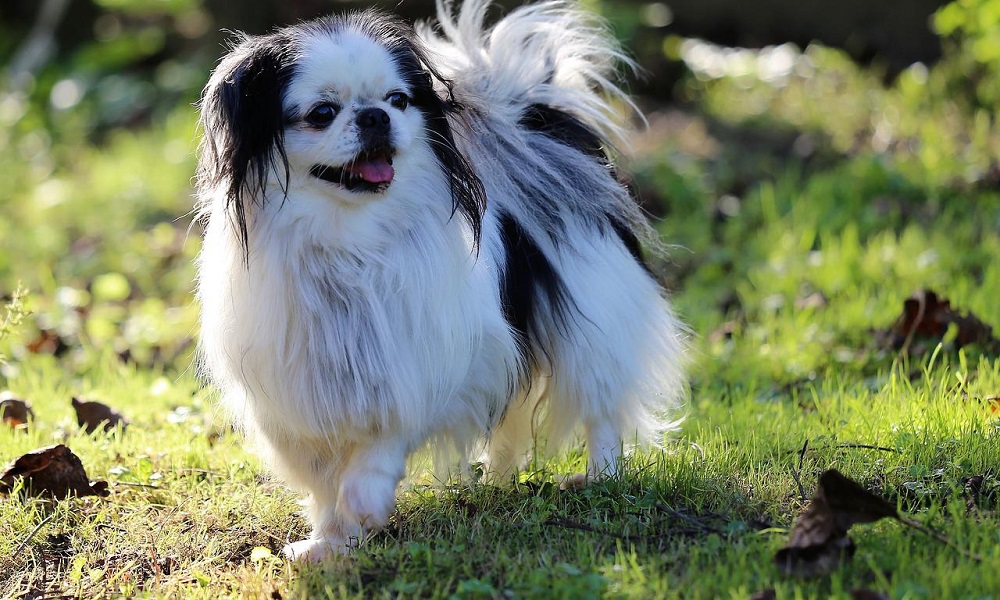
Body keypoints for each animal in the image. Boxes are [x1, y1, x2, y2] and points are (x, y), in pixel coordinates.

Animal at [195, 0, 688, 564]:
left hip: (595, 325)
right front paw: (331, 544)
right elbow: (323, 485)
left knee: (601, 409)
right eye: (321, 113)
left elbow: (379, 446)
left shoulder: (417, 367)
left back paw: (600, 477)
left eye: (398, 100)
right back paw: (500, 478)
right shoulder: (301, 403)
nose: (375, 116)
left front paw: (364, 503)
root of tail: (533, 129)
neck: (349, 241)